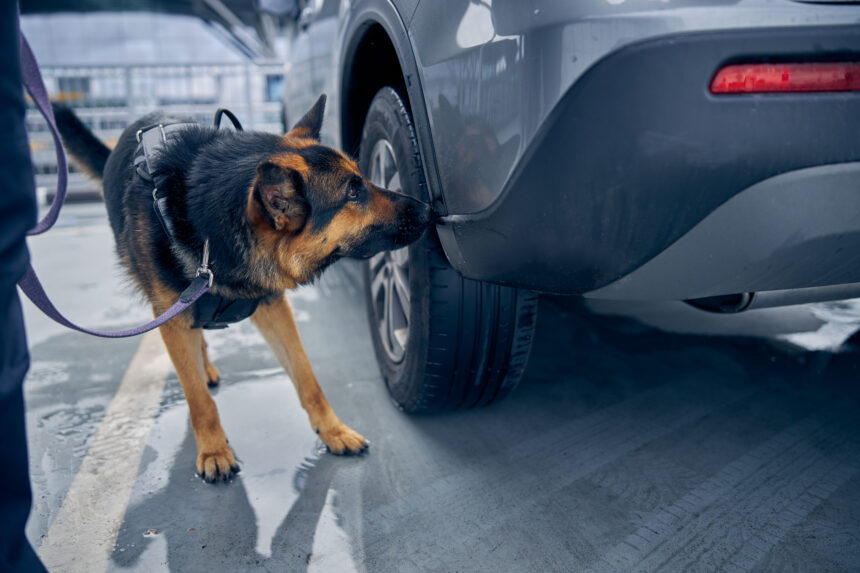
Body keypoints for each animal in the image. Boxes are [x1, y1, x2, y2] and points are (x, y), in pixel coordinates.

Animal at [53, 96, 430, 480]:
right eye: (353, 191)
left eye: (363, 178)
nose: (428, 208)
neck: (208, 228)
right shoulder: (172, 319)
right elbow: (198, 399)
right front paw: (213, 450)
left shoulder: (273, 307)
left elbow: (307, 378)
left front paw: (333, 431)